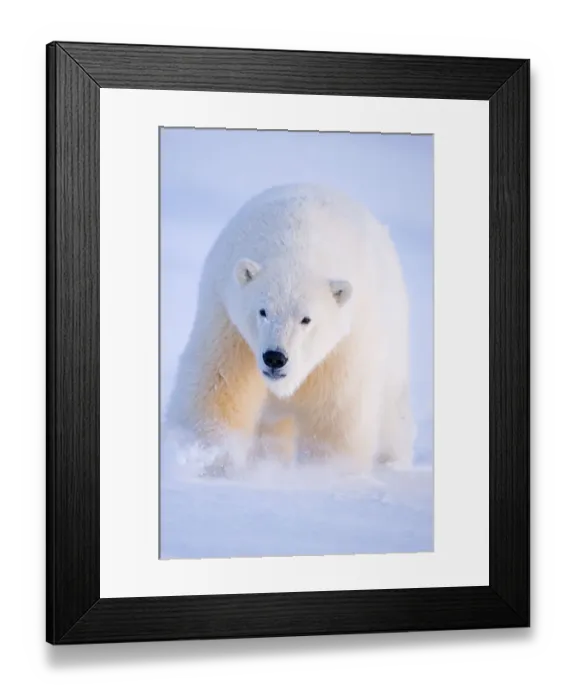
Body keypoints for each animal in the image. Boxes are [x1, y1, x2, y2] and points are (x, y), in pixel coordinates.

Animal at [165, 183, 415, 476]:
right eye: (263, 311)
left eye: (306, 319)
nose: (275, 357)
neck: (298, 238)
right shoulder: (227, 321)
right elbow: (219, 385)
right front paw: (211, 459)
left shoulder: (346, 342)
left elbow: (337, 410)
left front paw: (329, 472)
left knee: (392, 415)